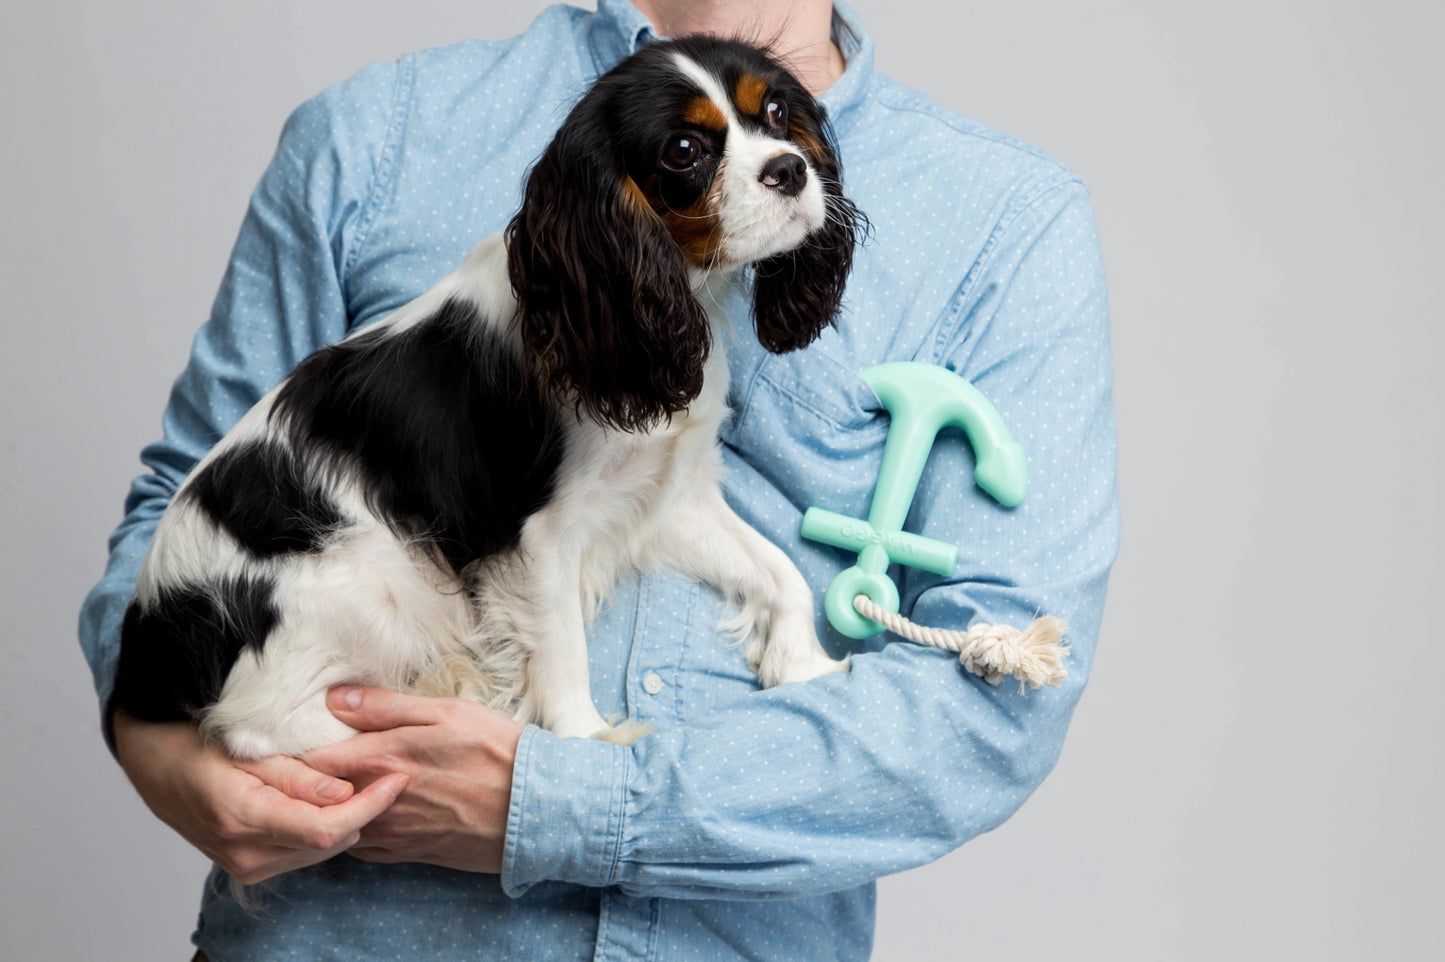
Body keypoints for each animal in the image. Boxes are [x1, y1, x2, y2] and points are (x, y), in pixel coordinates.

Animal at [109, 35, 867, 756]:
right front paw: (584, 740)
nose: (789, 169)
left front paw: (802, 664)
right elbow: (561, 645)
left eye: (777, 113)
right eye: (684, 151)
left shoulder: (666, 496)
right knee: (260, 727)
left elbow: (779, 569)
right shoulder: (540, 534)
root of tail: (147, 635)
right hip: (365, 580)